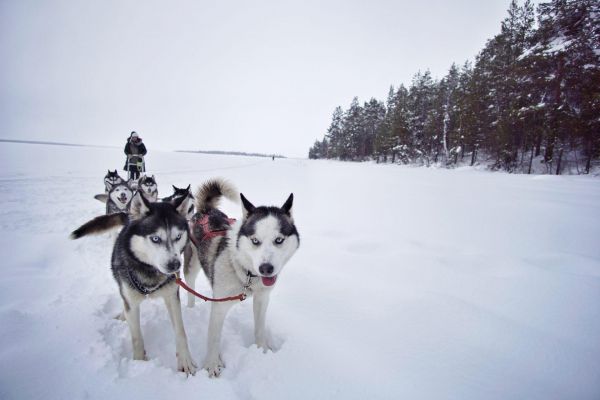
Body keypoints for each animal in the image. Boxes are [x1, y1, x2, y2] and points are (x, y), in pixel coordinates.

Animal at [70, 192, 197, 374]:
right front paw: (139, 363)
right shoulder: (131, 300)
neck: (149, 272)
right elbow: (136, 336)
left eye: (178, 237)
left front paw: (185, 360)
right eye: (155, 238)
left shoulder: (172, 297)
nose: (174, 265)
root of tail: (128, 216)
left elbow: (180, 331)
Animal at [185, 180, 300, 376]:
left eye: (279, 240)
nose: (266, 269)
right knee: (190, 286)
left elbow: (260, 328)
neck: (245, 272)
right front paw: (212, 364)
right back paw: (190, 308)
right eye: (255, 241)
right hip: (191, 266)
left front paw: (262, 349)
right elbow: (214, 338)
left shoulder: (262, 298)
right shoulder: (219, 306)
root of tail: (206, 210)